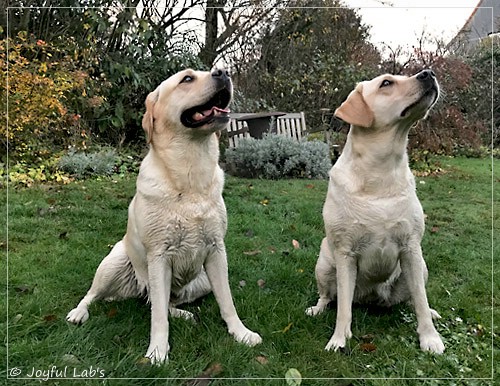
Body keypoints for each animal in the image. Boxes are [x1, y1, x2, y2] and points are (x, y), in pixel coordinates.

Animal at [68, 68, 264, 364]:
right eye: (187, 79)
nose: (222, 72)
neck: (191, 175)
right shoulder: (159, 257)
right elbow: (158, 316)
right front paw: (158, 351)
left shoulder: (217, 251)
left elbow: (227, 301)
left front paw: (240, 333)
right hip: (115, 262)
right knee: (103, 295)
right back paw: (79, 312)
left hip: (201, 281)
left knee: (160, 302)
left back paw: (184, 314)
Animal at [304, 68, 446, 352]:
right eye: (386, 83)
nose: (428, 72)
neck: (380, 171)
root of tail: (371, 298)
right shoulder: (345, 253)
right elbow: (343, 308)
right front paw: (339, 339)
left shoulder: (411, 248)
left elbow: (421, 300)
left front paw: (430, 337)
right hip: (324, 262)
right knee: (328, 296)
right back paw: (317, 308)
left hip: (421, 266)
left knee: (413, 298)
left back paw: (432, 313)